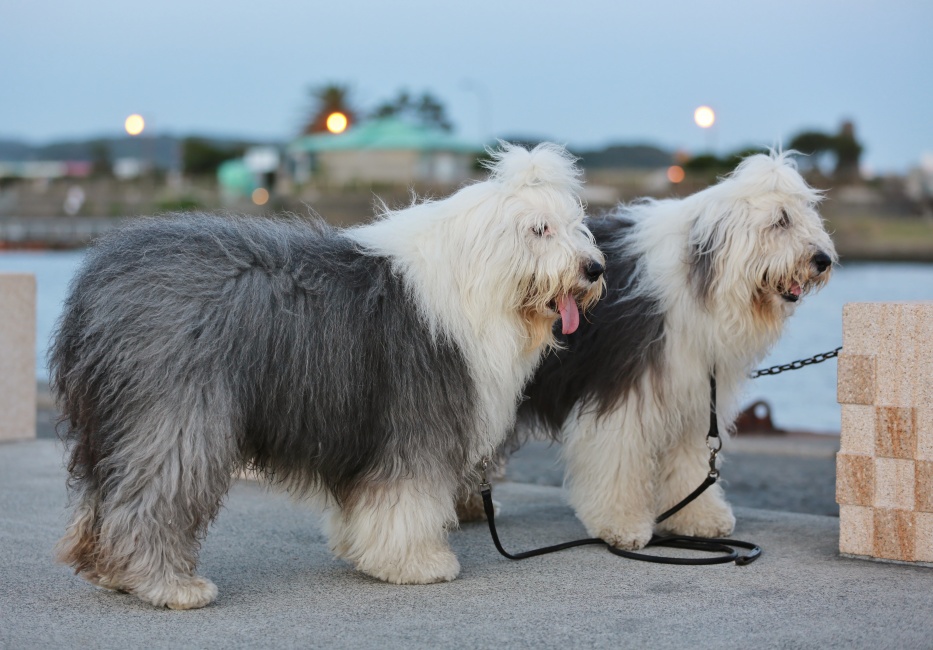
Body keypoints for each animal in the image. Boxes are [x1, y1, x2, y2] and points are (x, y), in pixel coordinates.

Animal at [51, 143, 605, 609]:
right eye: (539, 229)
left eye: (576, 224)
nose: (594, 268)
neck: (477, 281)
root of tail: (101, 281)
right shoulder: (416, 421)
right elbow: (409, 496)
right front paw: (419, 563)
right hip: (179, 416)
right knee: (152, 497)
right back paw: (168, 585)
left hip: (116, 419)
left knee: (106, 490)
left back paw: (109, 570)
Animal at [511, 152, 835, 550]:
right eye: (781, 220)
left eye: (807, 217)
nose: (823, 260)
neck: (701, 278)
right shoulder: (625, 389)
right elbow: (618, 456)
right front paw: (622, 524)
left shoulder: (695, 394)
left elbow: (690, 461)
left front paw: (697, 517)